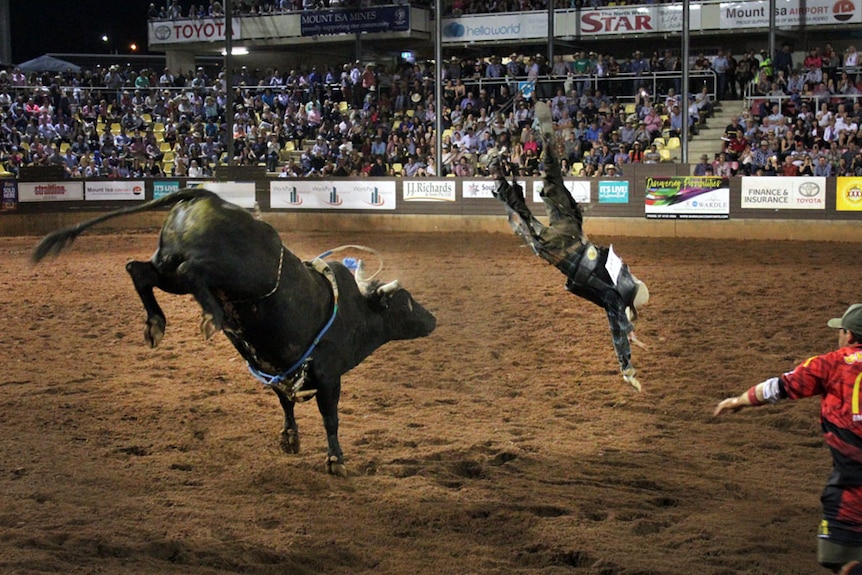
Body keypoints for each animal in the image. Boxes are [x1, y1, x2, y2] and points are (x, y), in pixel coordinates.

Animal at [32, 189, 438, 476]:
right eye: (405, 302)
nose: (432, 319)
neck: (355, 311)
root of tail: (207, 196)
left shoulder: (280, 369)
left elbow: (286, 402)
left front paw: (290, 438)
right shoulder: (327, 375)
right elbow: (330, 417)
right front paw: (336, 460)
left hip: (168, 267)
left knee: (139, 270)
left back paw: (157, 324)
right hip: (225, 271)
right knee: (192, 273)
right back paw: (211, 315)